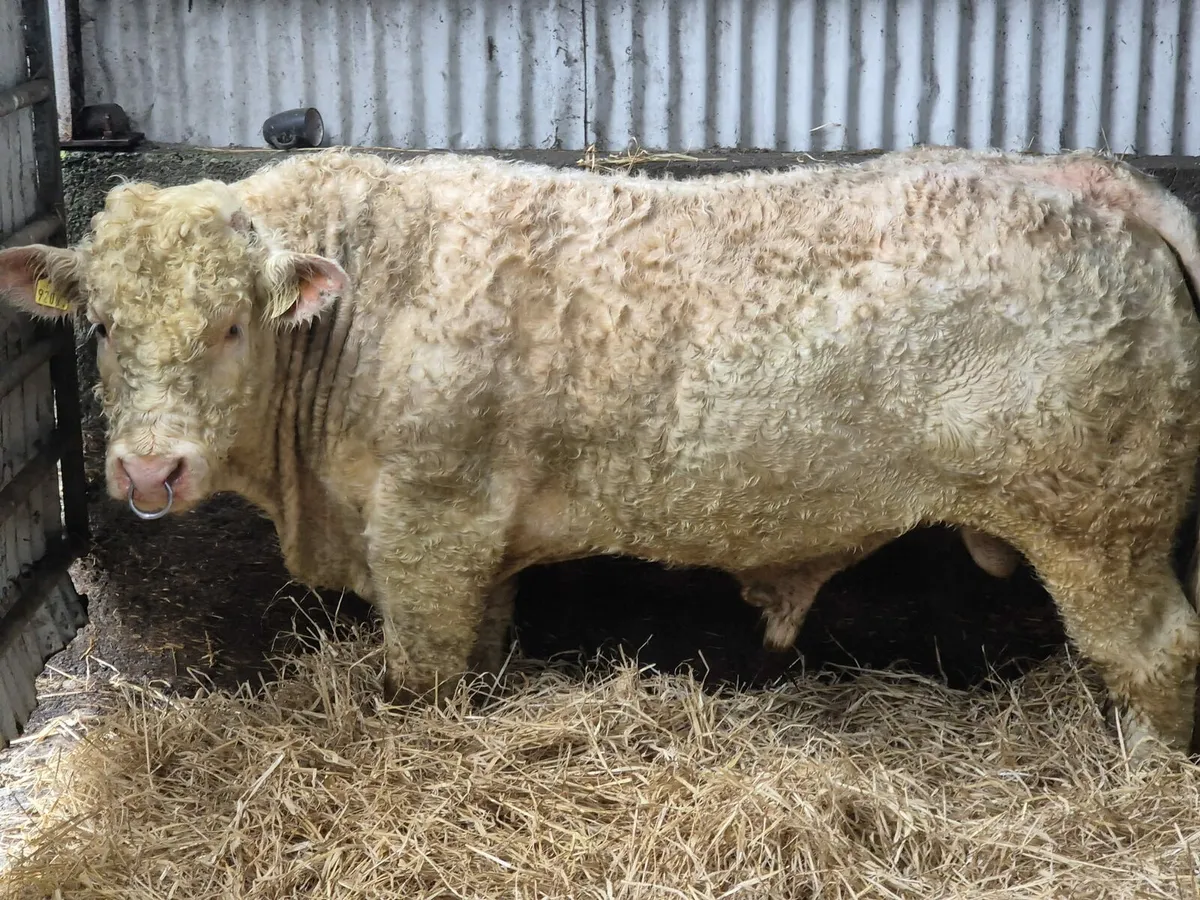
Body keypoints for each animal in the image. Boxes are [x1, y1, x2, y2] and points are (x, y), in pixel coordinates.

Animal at [2, 146, 1199, 759]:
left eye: (231, 327)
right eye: (99, 325)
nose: (147, 472)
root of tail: (1097, 181)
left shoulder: (426, 527)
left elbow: (422, 679)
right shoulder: (470, 544)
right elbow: (482, 655)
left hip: (1104, 527)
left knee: (1162, 654)